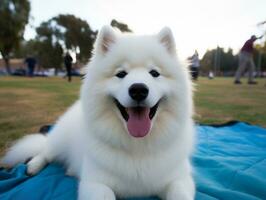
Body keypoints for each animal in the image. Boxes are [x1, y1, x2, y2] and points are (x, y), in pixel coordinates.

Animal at [1, 25, 195, 199]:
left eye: (154, 73)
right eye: (121, 74)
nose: (138, 90)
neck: (138, 147)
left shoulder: (180, 179)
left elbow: (180, 193)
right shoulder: (96, 183)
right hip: (60, 141)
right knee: (46, 150)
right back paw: (33, 166)